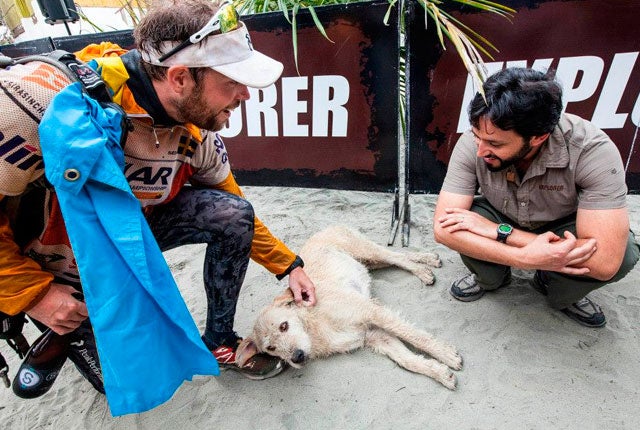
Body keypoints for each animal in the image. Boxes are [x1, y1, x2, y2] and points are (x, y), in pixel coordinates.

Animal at [235, 225, 460, 390]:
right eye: (270, 348)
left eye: (284, 326)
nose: (297, 357)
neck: (314, 326)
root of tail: (325, 227)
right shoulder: (374, 335)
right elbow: (407, 361)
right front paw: (441, 373)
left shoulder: (370, 311)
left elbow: (414, 335)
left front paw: (446, 354)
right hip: (369, 261)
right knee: (396, 259)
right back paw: (427, 261)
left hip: (366, 250)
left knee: (396, 256)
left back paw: (423, 270)